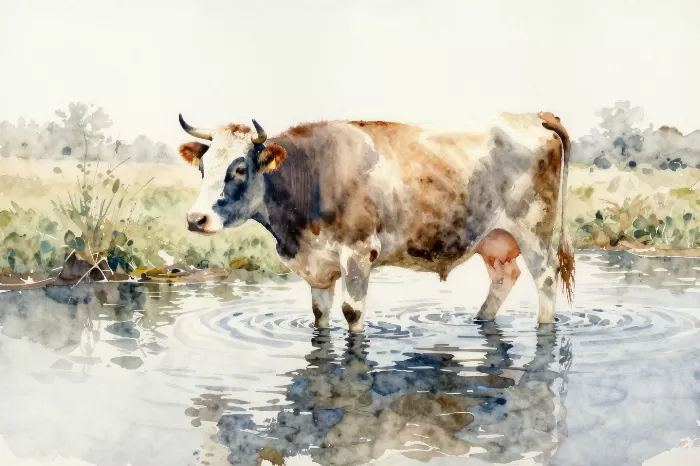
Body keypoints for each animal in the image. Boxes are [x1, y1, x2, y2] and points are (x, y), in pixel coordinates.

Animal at [177, 112, 575, 332]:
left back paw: (544, 326)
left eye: (239, 169)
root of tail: (531, 114)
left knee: (546, 277)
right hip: (493, 239)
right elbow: (320, 315)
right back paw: (481, 320)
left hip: (533, 231)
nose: (196, 219)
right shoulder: (318, 264)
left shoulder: (358, 251)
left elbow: (352, 313)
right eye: (203, 166)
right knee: (504, 276)